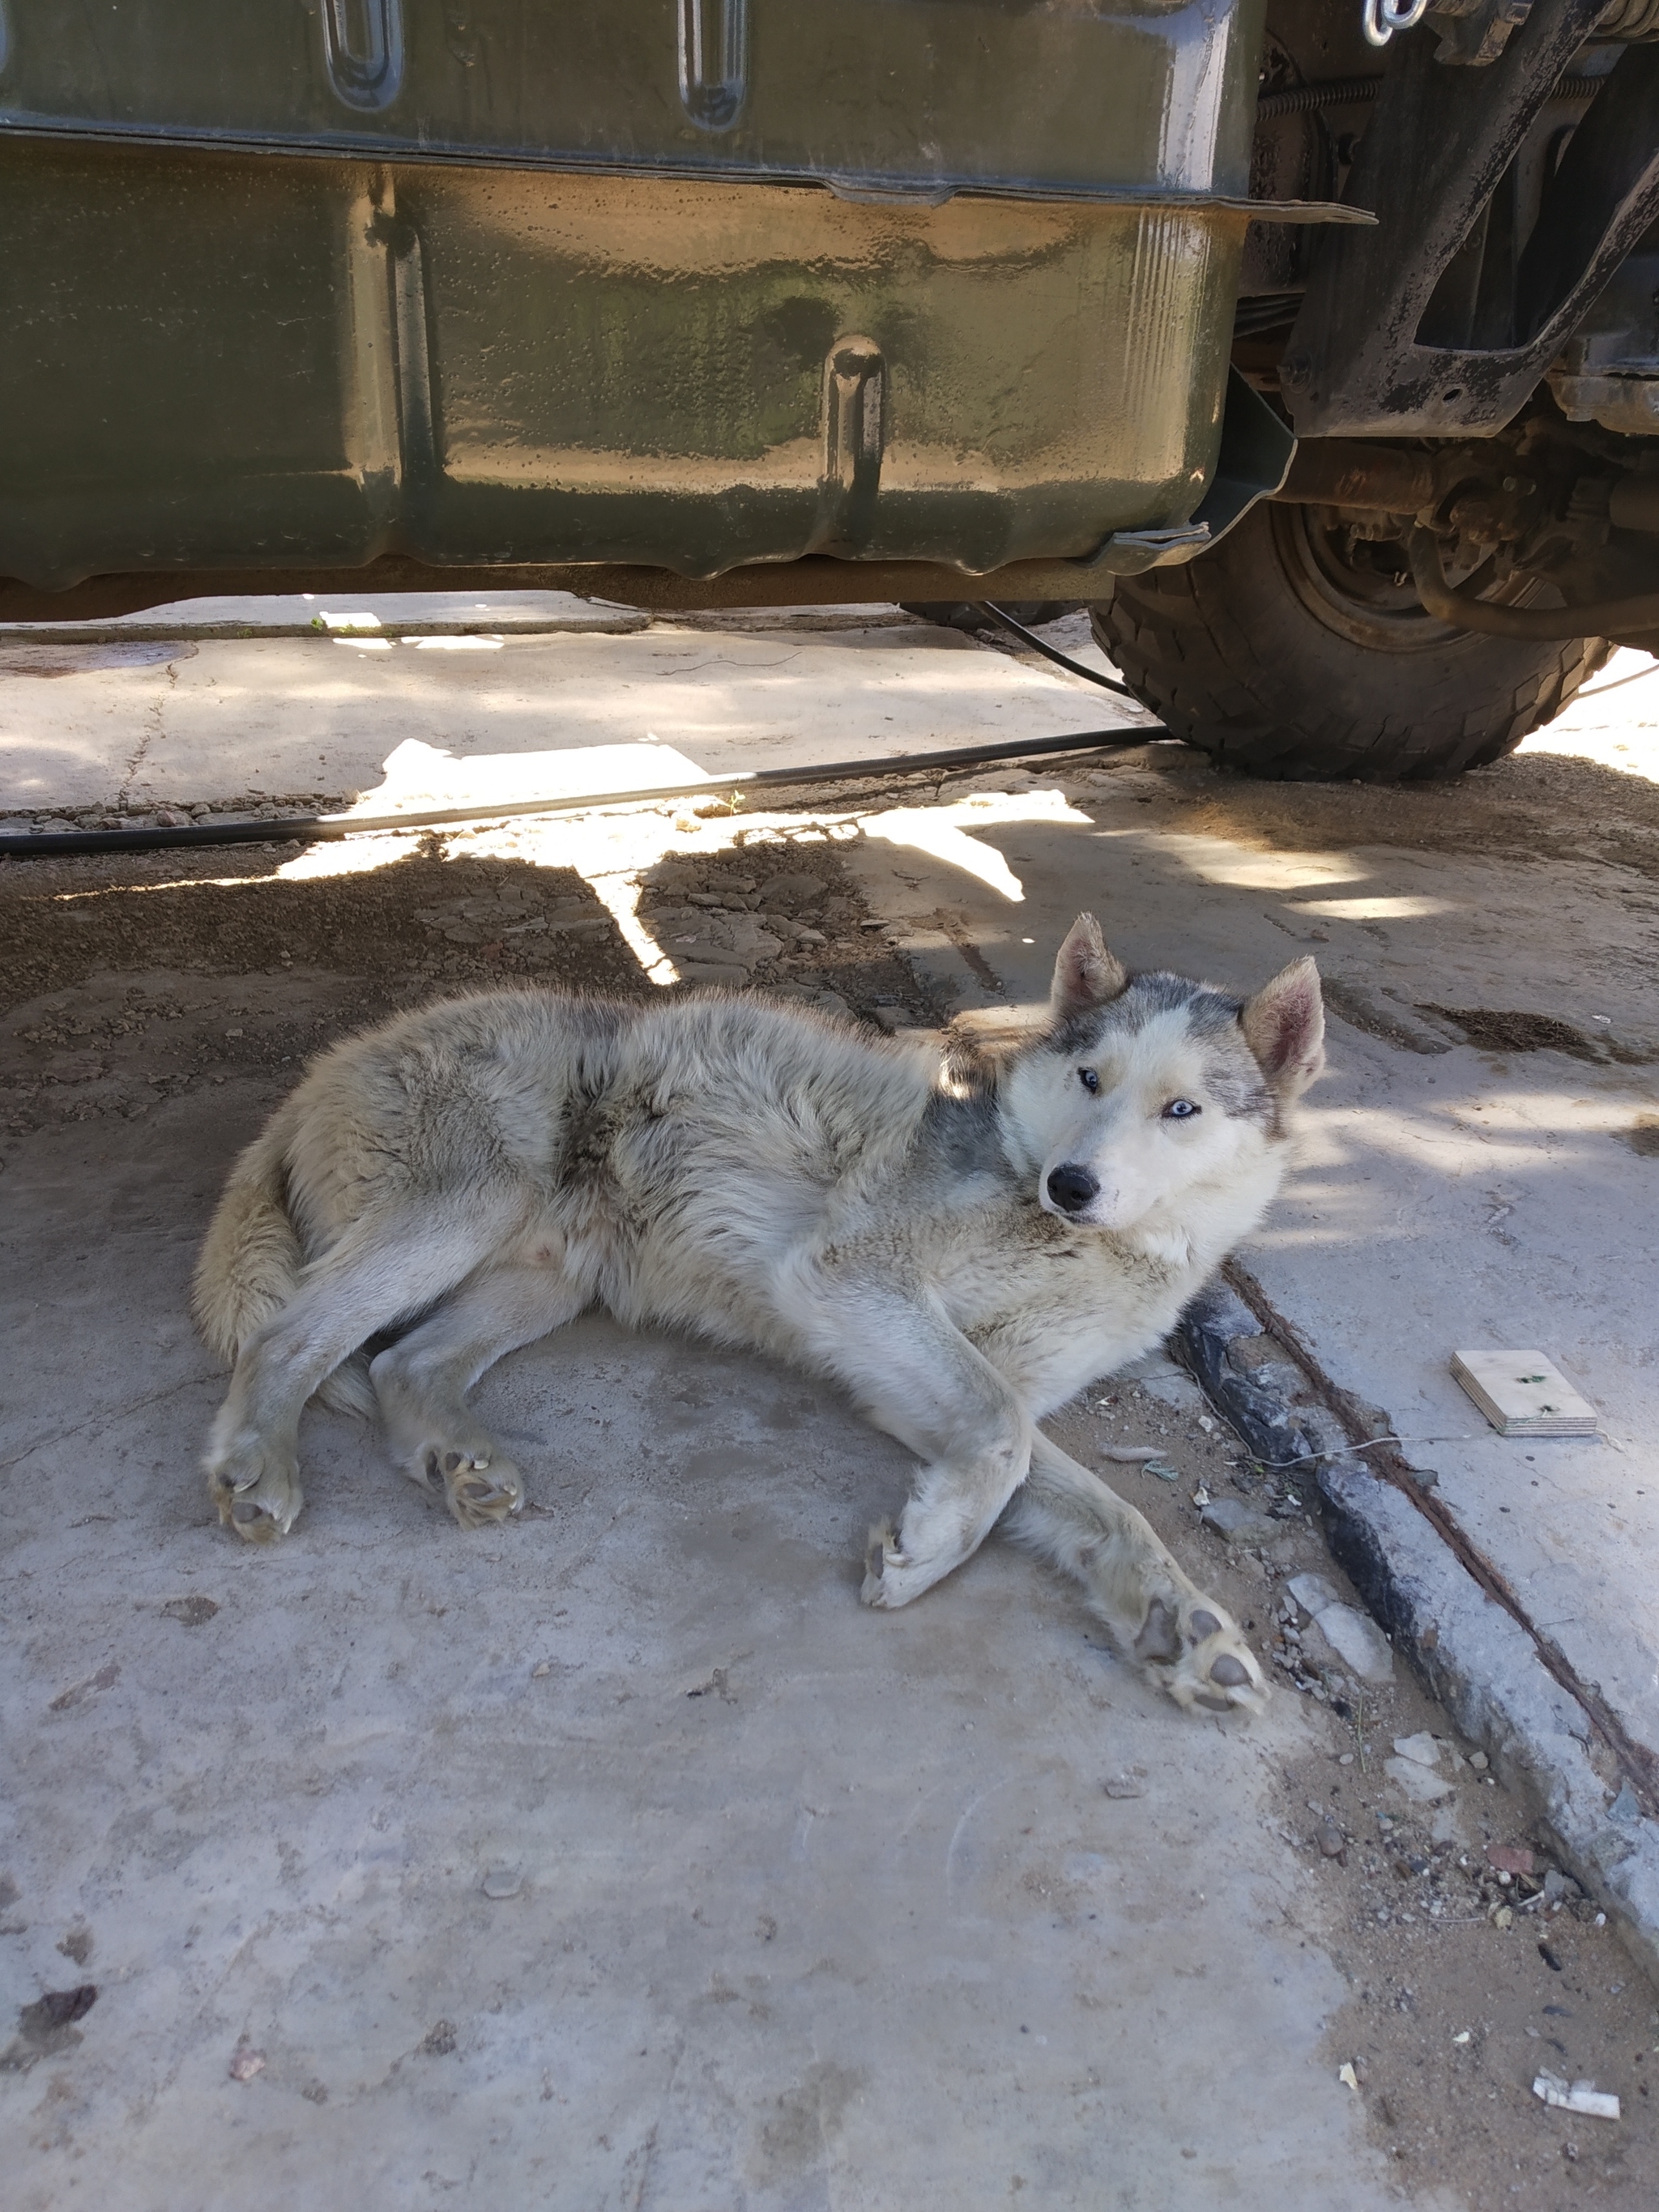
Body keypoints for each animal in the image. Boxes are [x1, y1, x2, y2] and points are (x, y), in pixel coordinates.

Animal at [194, 915, 1336, 1707]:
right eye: (1091, 1077)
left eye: (1180, 1109)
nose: (1072, 1184)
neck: (1075, 1243)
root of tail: (327, 1063)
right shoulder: (853, 1281)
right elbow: (1004, 1441)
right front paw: (926, 1555)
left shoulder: (932, 1383)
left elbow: (1100, 1505)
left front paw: (1179, 1629)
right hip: (464, 1212)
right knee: (291, 1337)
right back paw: (260, 1466)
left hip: (544, 1276)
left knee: (402, 1364)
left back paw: (460, 1463)